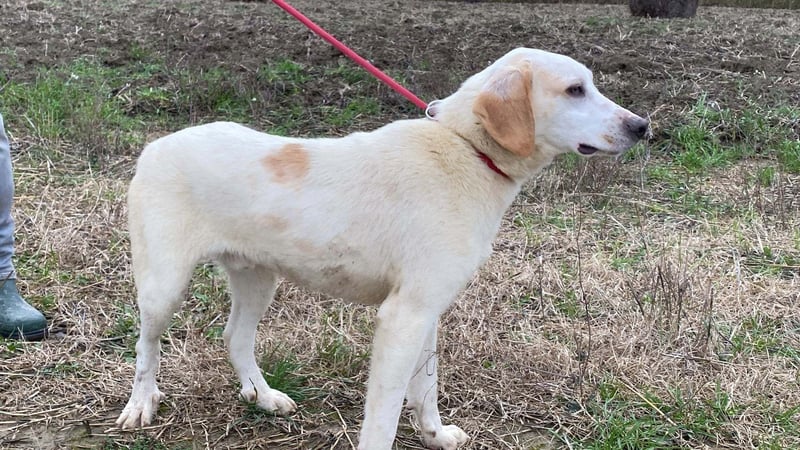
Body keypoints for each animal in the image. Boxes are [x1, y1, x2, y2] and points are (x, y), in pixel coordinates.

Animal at [116, 47, 648, 449]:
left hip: (257, 279)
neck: (465, 148)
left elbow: (426, 389)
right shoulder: (401, 318)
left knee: (235, 338)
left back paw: (262, 397)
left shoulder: (426, 311)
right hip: (163, 288)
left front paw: (435, 436)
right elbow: (386, 415)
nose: (642, 126)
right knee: (146, 347)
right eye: (575, 90)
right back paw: (141, 406)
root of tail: (156, 146)